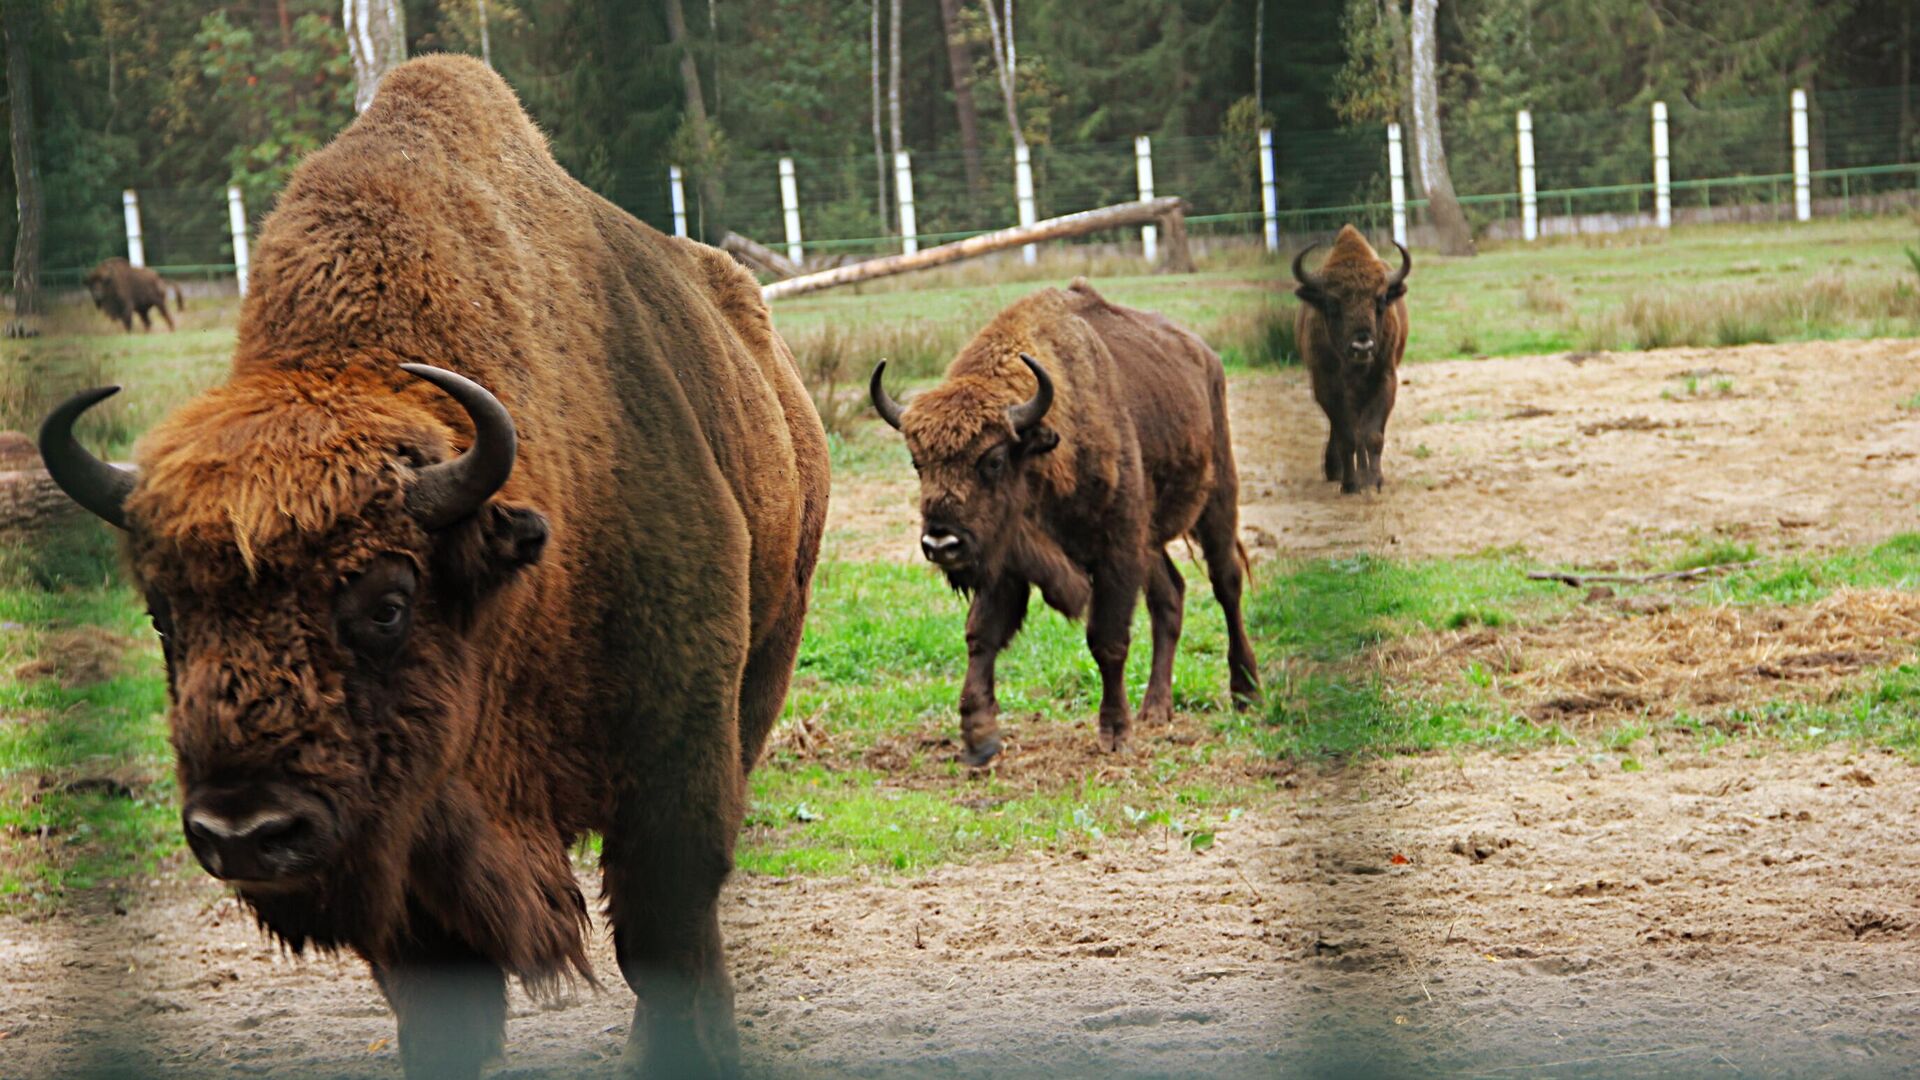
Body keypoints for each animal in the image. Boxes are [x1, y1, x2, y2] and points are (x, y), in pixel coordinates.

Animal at [33, 52, 821, 1076]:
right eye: (163, 615)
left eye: (388, 603)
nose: (244, 831)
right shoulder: (408, 851)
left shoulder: (673, 766)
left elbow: (668, 942)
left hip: (768, 656)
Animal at [871, 282, 1259, 760]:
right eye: (917, 462)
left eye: (994, 460)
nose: (942, 544)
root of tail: (1206, 356)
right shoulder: (1006, 557)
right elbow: (982, 634)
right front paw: (979, 735)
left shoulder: (1116, 552)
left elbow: (1107, 640)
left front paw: (1115, 732)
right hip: (1151, 540)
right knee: (1170, 595)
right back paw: (1156, 708)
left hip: (1216, 500)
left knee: (1226, 585)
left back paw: (1246, 693)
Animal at [1290, 222, 1413, 491]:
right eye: (1332, 304)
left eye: (1380, 300)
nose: (1362, 346)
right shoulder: (1326, 386)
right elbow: (1347, 435)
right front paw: (1350, 484)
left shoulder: (1384, 380)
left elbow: (1372, 435)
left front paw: (1374, 481)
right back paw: (1337, 471)